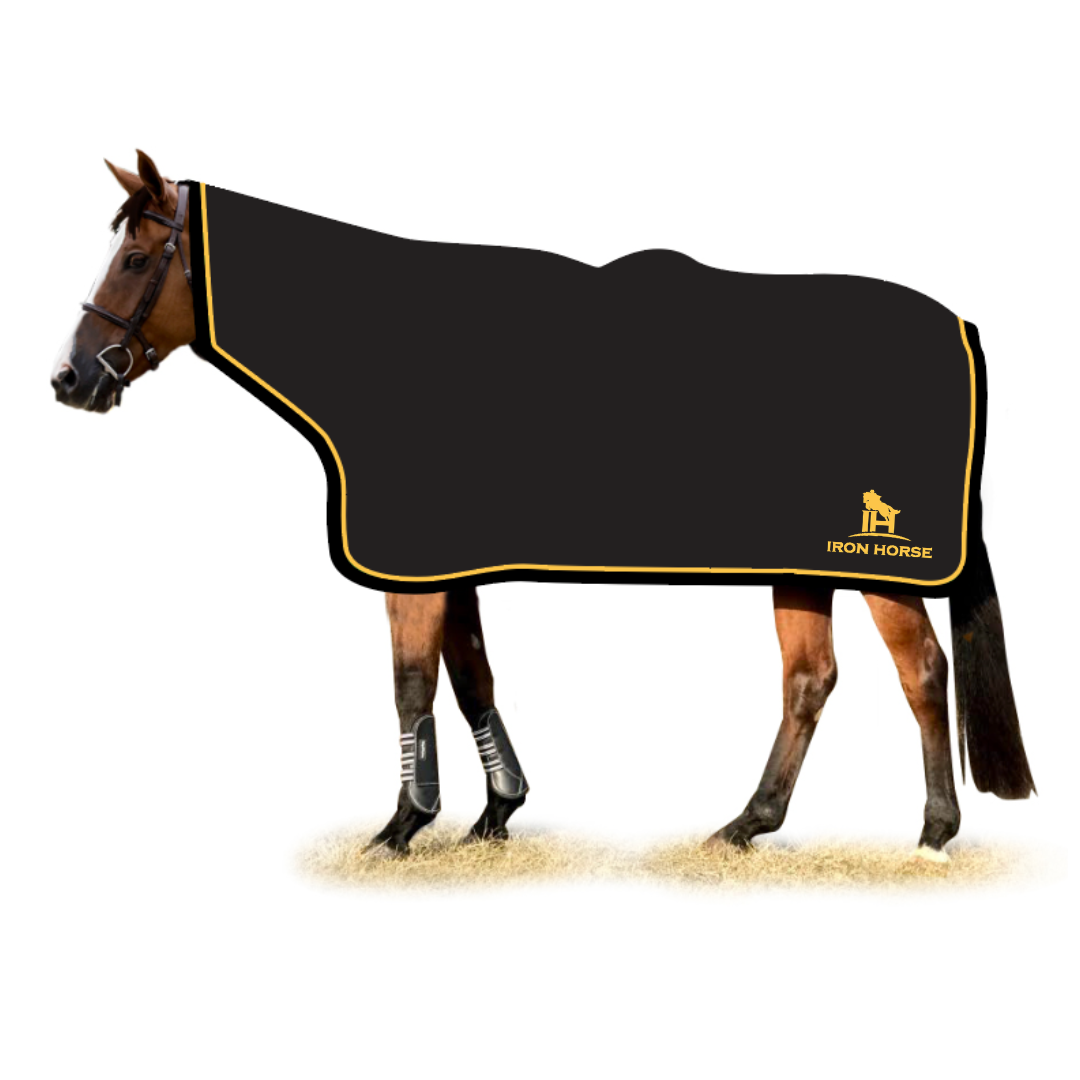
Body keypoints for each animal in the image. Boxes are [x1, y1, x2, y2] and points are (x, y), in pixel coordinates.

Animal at [51, 151, 1035, 862]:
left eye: (135, 259)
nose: (72, 380)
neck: (387, 349)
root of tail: (957, 327)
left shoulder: (409, 567)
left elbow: (411, 682)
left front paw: (402, 827)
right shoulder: (444, 562)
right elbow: (471, 676)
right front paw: (493, 812)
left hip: (876, 566)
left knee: (922, 673)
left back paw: (933, 833)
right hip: (800, 565)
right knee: (809, 681)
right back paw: (745, 824)